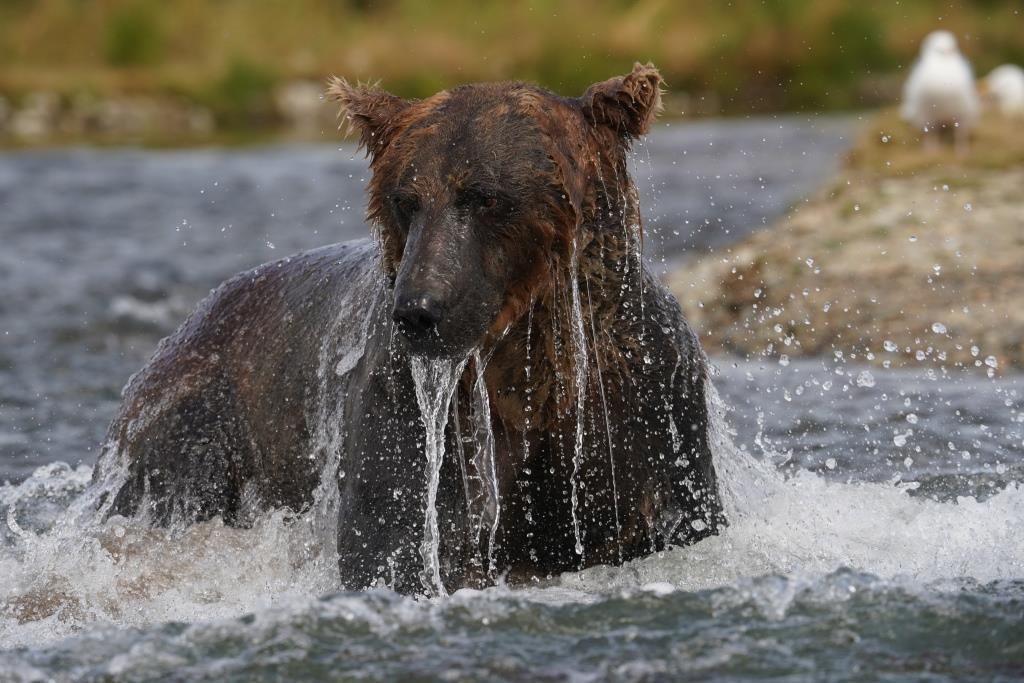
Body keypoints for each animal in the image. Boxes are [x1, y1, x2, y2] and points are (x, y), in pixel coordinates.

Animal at [92, 65, 724, 598]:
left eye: (486, 196)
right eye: (405, 199)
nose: (420, 310)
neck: (526, 369)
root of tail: (186, 326)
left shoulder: (646, 400)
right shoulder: (405, 404)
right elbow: (395, 544)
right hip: (196, 431)